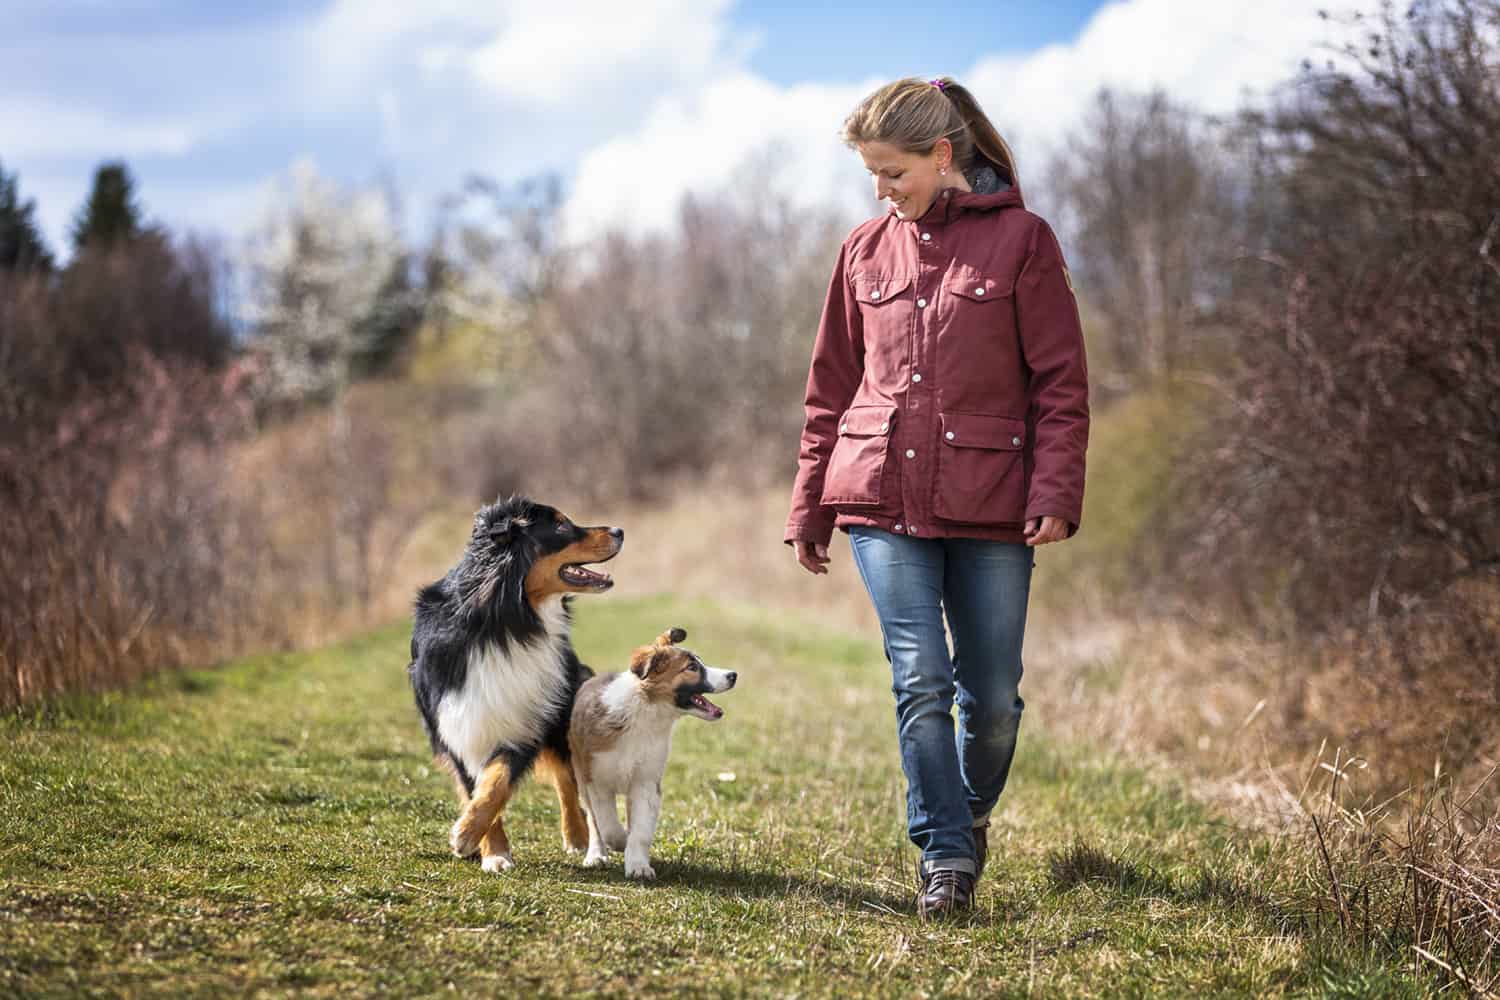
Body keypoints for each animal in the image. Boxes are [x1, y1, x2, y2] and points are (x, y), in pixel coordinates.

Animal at [567, 629, 738, 881]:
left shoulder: (645, 782)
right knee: (593, 821)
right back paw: (597, 855)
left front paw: (638, 865)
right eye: (691, 667)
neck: (644, 713)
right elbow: (606, 823)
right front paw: (620, 841)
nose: (733, 675)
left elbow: (641, 831)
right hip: (581, 776)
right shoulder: (596, 780)